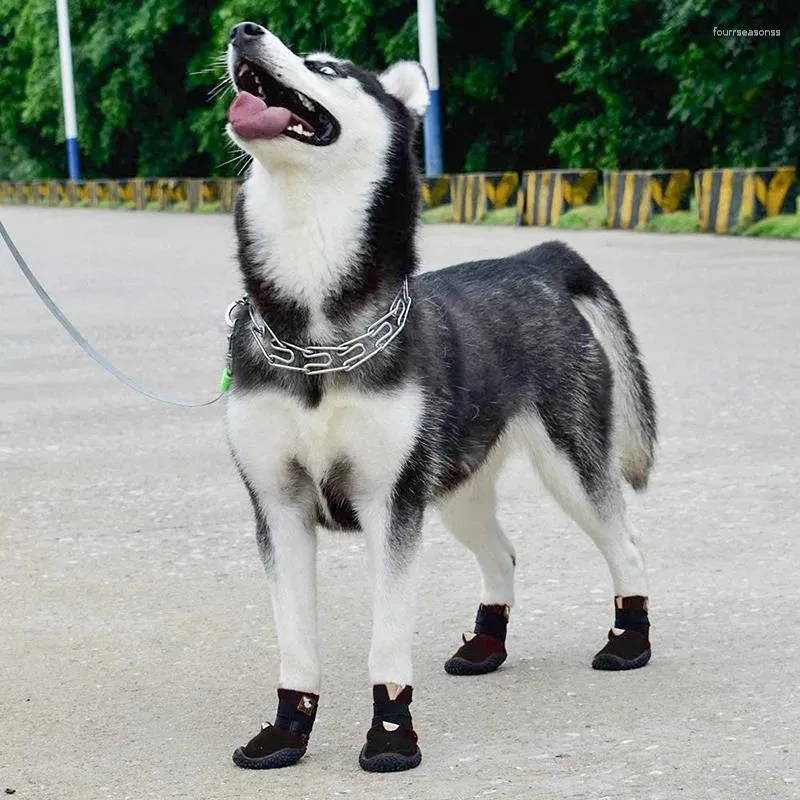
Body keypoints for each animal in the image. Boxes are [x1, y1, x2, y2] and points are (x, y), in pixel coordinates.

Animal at [223, 21, 656, 772]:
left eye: (326, 67)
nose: (244, 30)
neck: (314, 332)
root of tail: (534, 259)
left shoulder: (390, 505)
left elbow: (387, 639)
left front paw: (391, 733)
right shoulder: (278, 506)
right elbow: (296, 642)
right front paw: (286, 730)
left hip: (567, 463)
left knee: (623, 541)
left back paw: (630, 639)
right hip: (455, 486)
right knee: (502, 554)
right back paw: (486, 643)